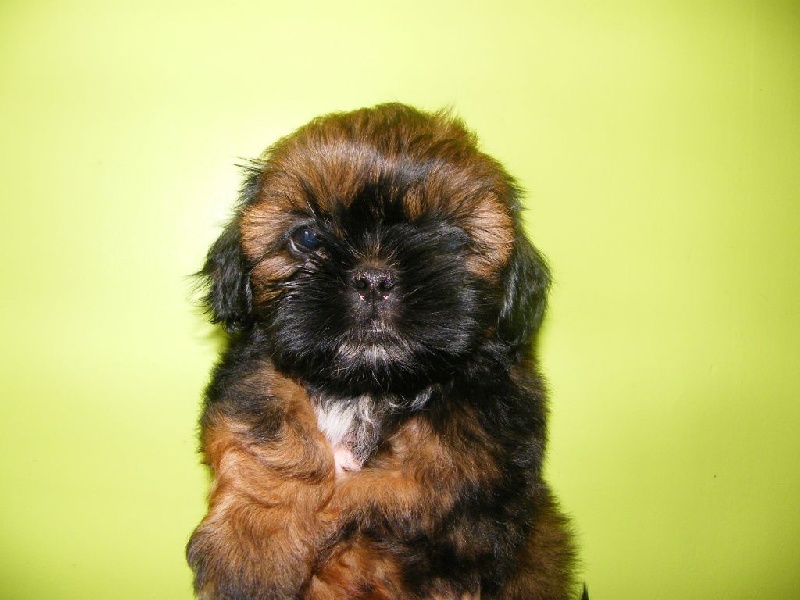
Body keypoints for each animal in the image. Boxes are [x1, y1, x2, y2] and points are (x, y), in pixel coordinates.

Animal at [187, 103, 583, 599]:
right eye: (308, 238)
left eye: (450, 241)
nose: (374, 279)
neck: (369, 388)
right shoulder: (258, 366)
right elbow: (271, 432)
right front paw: (250, 550)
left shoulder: (476, 471)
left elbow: (382, 496)